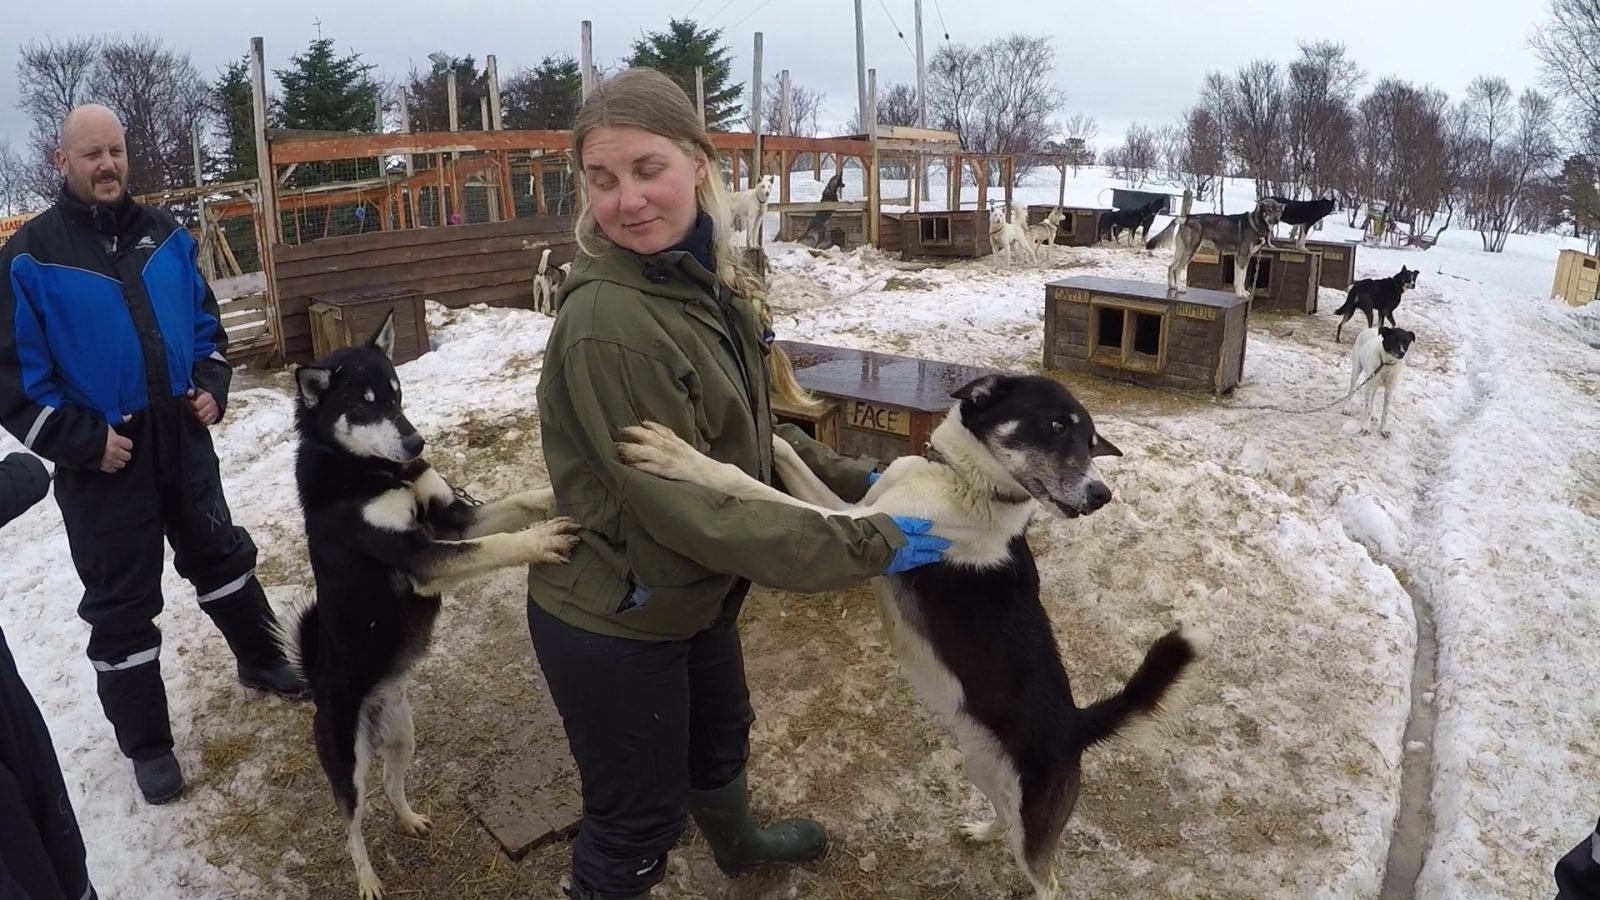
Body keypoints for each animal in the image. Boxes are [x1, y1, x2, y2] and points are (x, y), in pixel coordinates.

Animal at [281, 310, 582, 896]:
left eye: (396, 394)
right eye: (363, 405)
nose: (417, 443)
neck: (371, 473)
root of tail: (318, 684)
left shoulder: (451, 519)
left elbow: (518, 504)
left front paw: (554, 494)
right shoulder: (422, 557)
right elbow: (498, 543)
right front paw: (541, 540)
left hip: (403, 735)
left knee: (392, 785)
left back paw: (409, 820)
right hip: (347, 764)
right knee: (353, 826)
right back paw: (368, 880)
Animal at [611, 369, 1203, 896]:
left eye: (1087, 440)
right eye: (1058, 427)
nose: (1101, 495)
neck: (965, 482)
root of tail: (1076, 725)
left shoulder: (852, 528)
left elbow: (744, 484)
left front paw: (676, 457)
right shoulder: (858, 511)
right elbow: (791, 460)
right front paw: (778, 433)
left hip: (1035, 821)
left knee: (1046, 878)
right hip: (981, 766)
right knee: (1003, 818)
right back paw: (981, 830)